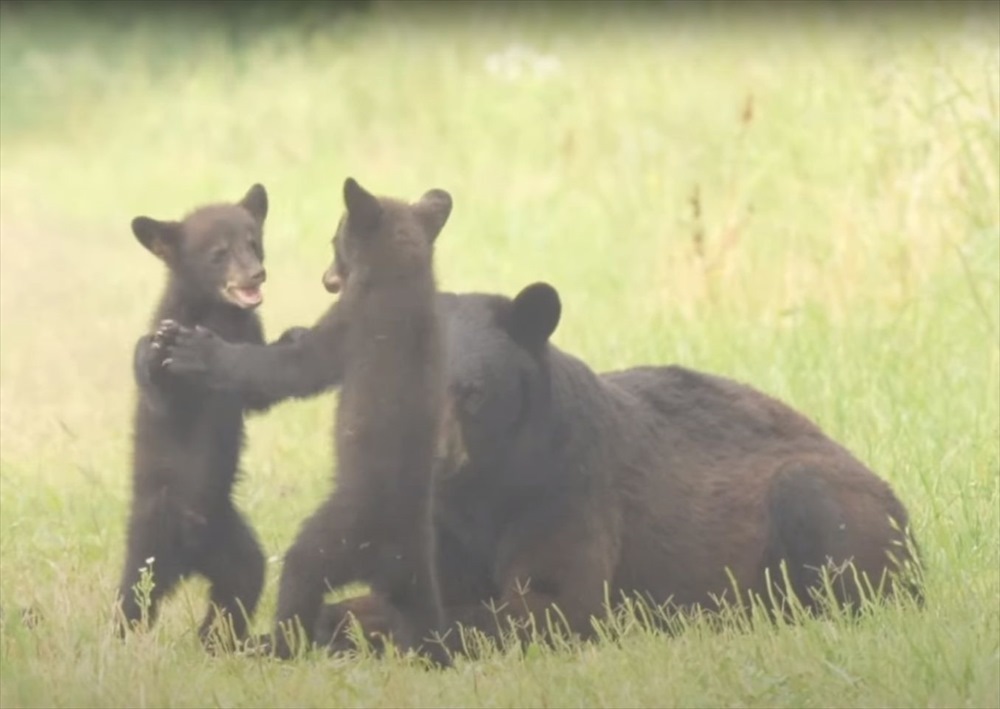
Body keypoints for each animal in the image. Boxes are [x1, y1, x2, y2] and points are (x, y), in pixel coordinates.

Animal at [119, 185, 280, 648]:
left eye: (253, 243)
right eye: (218, 254)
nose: (256, 275)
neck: (217, 314)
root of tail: (188, 560)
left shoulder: (248, 334)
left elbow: (255, 392)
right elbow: (166, 401)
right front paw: (154, 354)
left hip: (230, 538)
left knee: (241, 584)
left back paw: (218, 642)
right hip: (149, 538)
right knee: (133, 597)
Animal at [158, 280, 920, 652]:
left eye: (469, 389)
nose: (423, 458)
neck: (482, 482)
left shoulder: (565, 488)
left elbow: (551, 601)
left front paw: (361, 629)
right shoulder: (440, 521)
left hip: (823, 497)